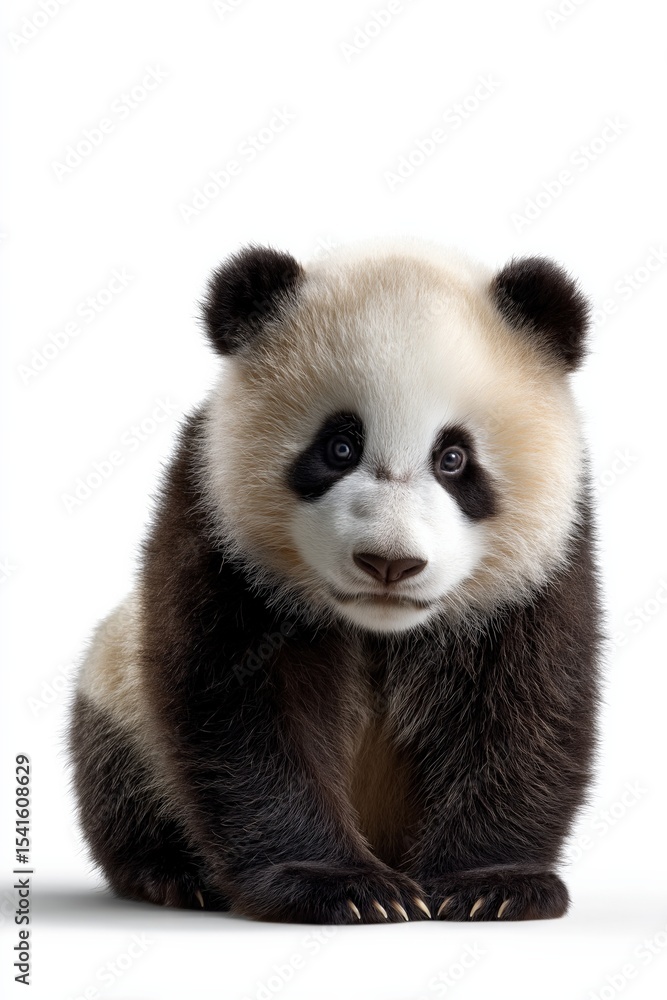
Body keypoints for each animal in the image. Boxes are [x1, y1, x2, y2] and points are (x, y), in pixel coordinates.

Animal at [69, 239, 601, 924]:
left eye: (453, 458)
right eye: (339, 447)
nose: (390, 564)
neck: (382, 626)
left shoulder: (545, 561)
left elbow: (523, 707)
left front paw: (491, 885)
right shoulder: (218, 529)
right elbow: (244, 713)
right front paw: (343, 887)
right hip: (117, 690)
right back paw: (175, 875)